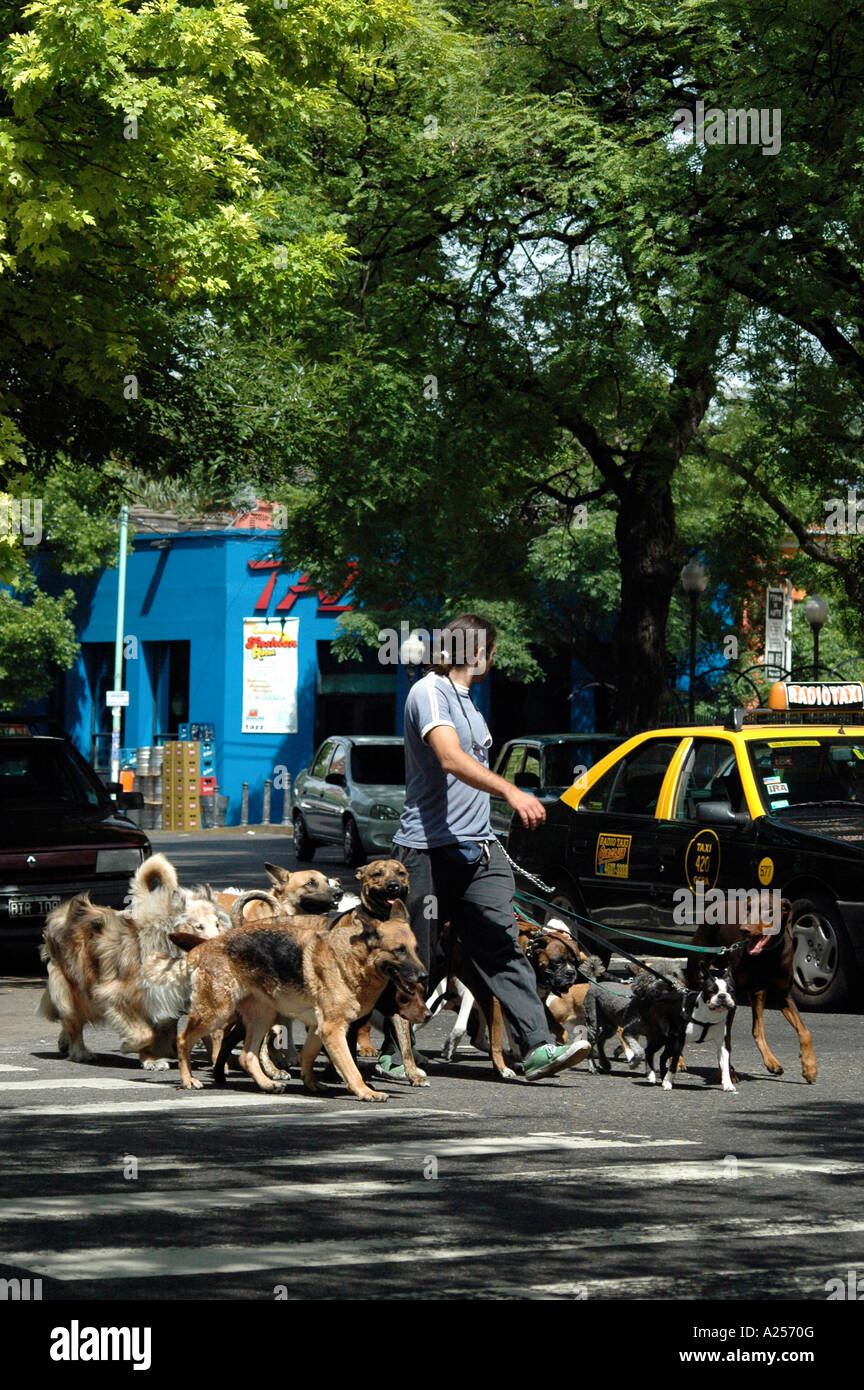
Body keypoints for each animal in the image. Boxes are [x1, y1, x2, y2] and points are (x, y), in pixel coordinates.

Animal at [38, 850, 226, 1067]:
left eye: (217, 924)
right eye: (198, 926)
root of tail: (64, 912)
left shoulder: (162, 999)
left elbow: (158, 1030)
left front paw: (152, 1058)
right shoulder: (113, 994)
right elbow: (145, 1033)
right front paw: (131, 1047)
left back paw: (64, 1043)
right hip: (73, 988)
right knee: (74, 1021)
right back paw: (79, 1051)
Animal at [175, 889, 427, 1106]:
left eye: (415, 949)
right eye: (399, 950)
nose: (424, 976)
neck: (352, 960)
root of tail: (210, 943)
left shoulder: (318, 1029)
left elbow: (308, 1056)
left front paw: (311, 1082)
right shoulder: (333, 1029)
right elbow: (350, 1067)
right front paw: (365, 1091)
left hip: (262, 1018)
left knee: (248, 1055)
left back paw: (267, 1083)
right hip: (216, 1013)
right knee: (183, 1039)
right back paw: (188, 1080)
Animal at [636, 961, 738, 1089]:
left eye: (732, 991)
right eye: (711, 991)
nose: (722, 996)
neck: (709, 1017)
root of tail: (662, 996)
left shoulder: (723, 1045)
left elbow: (725, 1065)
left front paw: (728, 1085)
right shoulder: (680, 1041)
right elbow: (674, 1063)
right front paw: (668, 1082)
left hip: (670, 1041)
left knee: (663, 1056)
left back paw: (663, 1078)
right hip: (661, 1037)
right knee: (649, 1051)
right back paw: (652, 1076)